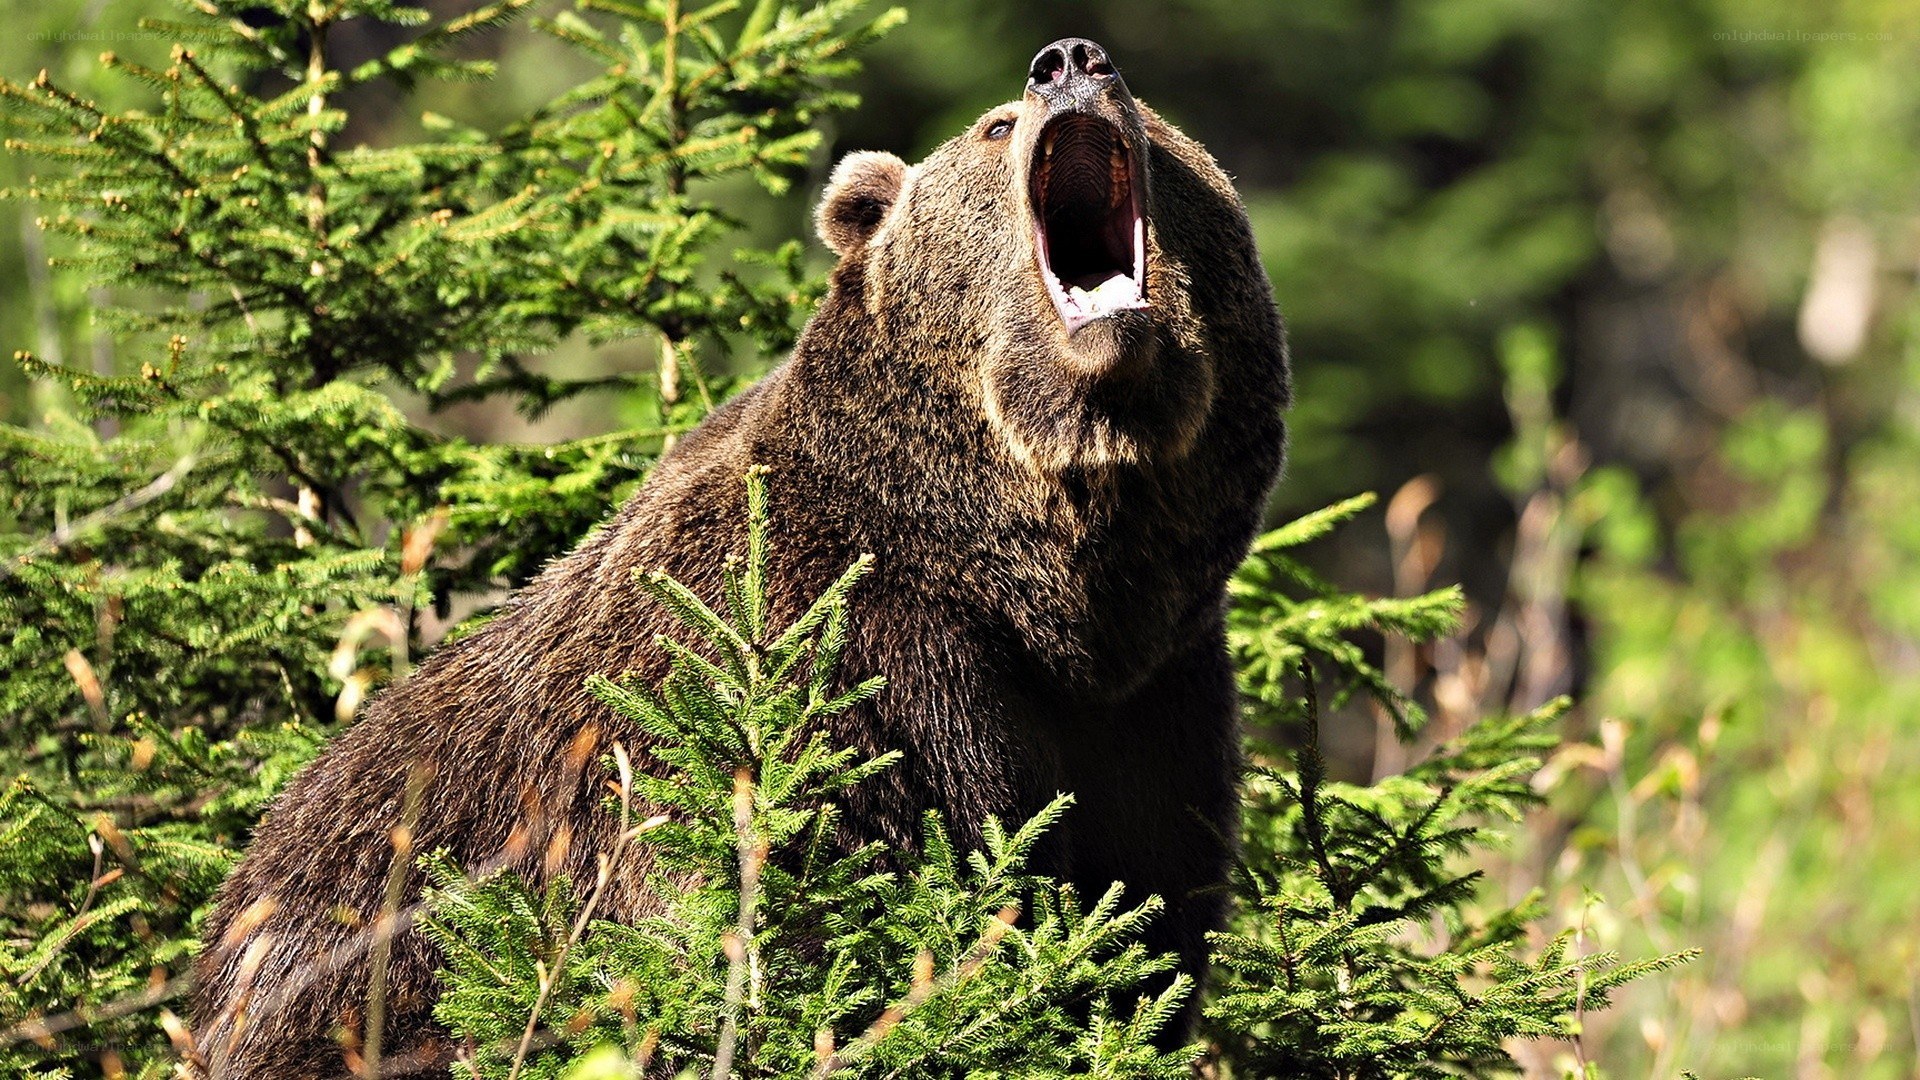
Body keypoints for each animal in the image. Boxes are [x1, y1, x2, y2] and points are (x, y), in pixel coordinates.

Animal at [191, 36, 1288, 1077]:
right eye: (995, 125)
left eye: (1153, 120)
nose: (1071, 61)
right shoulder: (821, 655)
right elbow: (802, 907)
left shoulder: (1151, 706)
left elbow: (1137, 929)